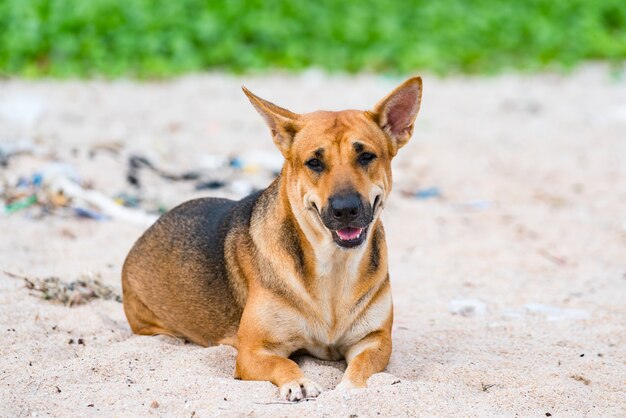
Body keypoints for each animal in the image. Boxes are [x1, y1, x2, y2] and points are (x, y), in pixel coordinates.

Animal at [121, 76, 422, 402]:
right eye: (314, 162)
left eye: (366, 156)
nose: (346, 210)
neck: (332, 264)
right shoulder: (253, 351)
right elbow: (283, 363)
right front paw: (298, 382)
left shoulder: (374, 340)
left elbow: (363, 366)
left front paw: (350, 388)